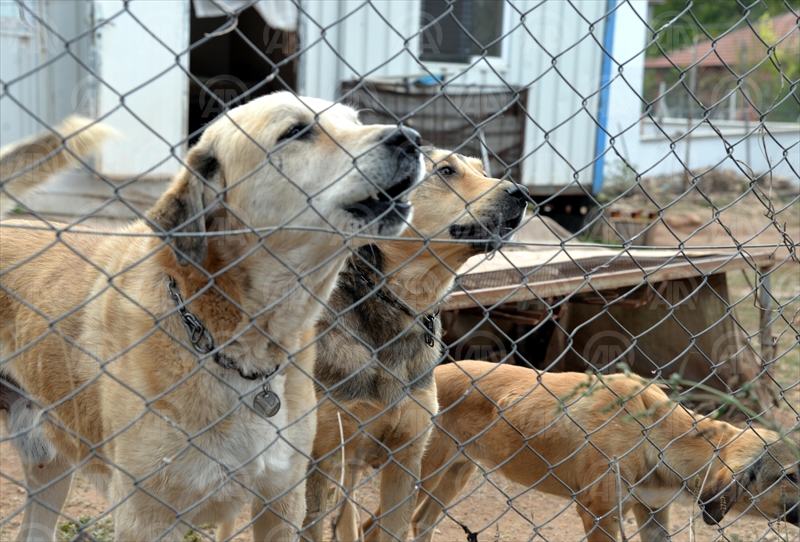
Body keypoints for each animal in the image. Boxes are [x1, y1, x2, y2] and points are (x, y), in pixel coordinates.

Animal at [0, 94, 424, 542]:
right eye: (295, 131)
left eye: (356, 121)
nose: (412, 139)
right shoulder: (145, 518)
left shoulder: (281, 503)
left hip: (50, 464)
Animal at [296, 149, 528, 542]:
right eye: (446, 171)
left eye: (483, 171)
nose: (523, 193)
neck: (398, 305)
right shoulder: (321, 460)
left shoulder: (405, 460)